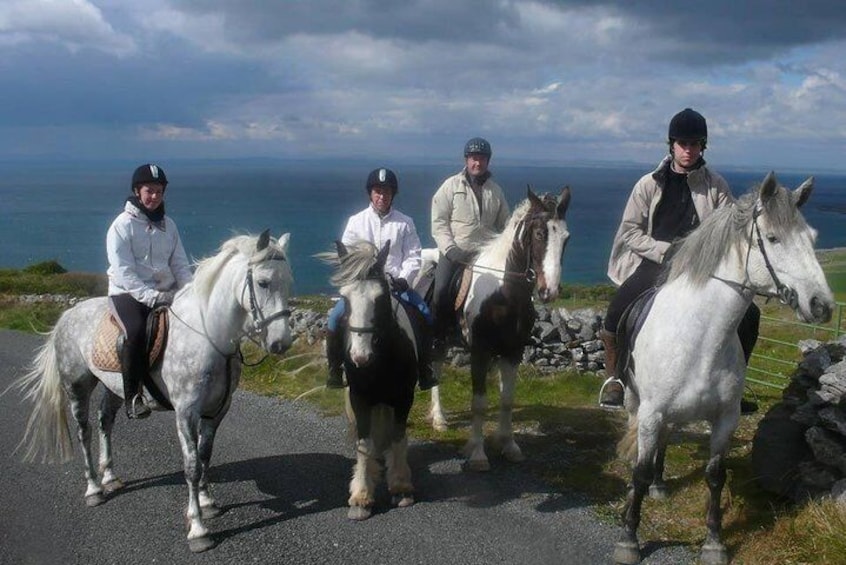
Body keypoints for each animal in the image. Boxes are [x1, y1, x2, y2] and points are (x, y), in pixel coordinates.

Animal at [12, 229, 298, 552]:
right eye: (263, 282)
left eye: (289, 281)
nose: (281, 342)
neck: (208, 337)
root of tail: (68, 314)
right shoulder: (186, 412)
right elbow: (191, 465)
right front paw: (198, 529)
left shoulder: (217, 410)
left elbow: (205, 455)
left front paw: (207, 501)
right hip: (77, 386)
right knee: (85, 432)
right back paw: (94, 488)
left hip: (115, 388)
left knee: (105, 422)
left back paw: (110, 477)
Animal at [322, 240, 420, 516]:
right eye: (345, 298)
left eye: (381, 297)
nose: (360, 357)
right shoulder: (360, 399)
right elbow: (364, 443)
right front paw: (362, 495)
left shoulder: (403, 398)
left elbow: (398, 437)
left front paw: (401, 487)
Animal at [428, 187, 572, 470]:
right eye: (539, 234)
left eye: (566, 238)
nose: (549, 291)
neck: (502, 293)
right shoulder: (480, 353)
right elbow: (479, 402)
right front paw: (477, 453)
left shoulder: (513, 352)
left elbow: (506, 400)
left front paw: (508, 445)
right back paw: (439, 418)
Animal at [612, 173, 840, 564]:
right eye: (773, 238)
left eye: (811, 238)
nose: (821, 305)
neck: (700, 338)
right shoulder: (651, 412)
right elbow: (639, 471)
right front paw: (629, 537)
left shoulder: (725, 419)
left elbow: (715, 476)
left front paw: (714, 542)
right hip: (635, 403)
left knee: (665, 442)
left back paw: (660, 483)